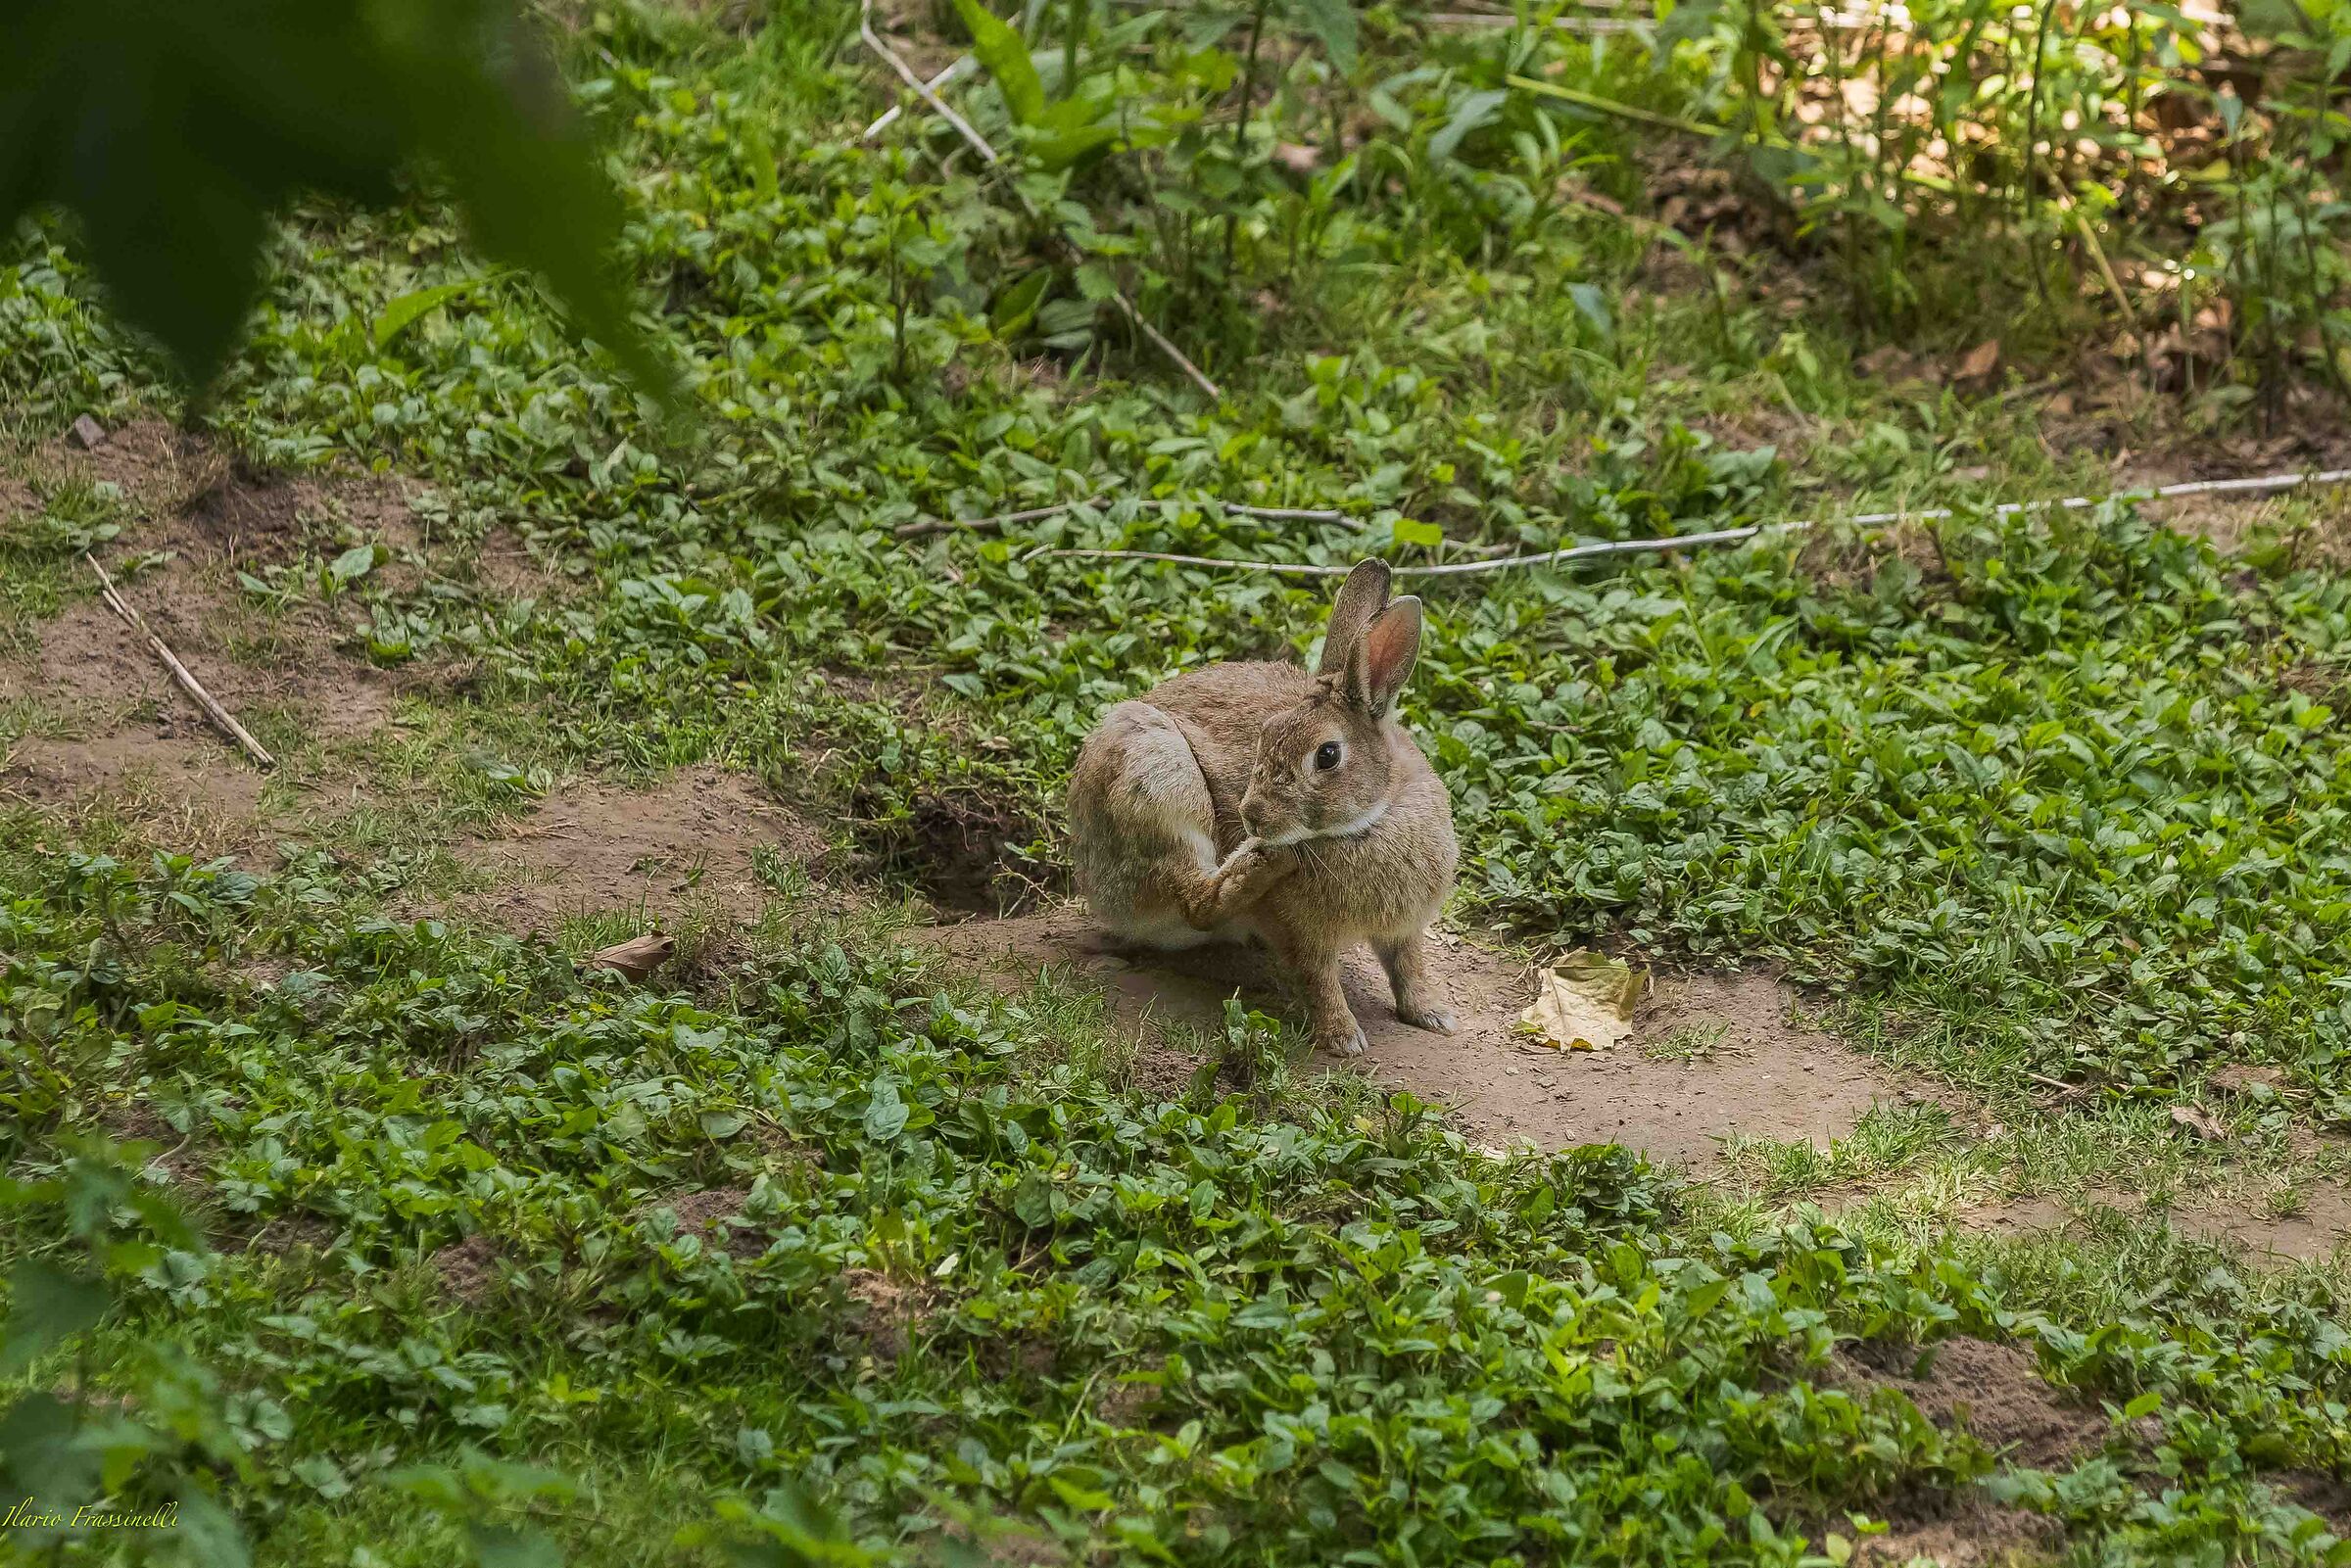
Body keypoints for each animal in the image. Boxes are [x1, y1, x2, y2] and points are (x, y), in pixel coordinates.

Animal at [1067, 558, 1458, 1056]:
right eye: (1265, 735)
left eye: (1327, 755)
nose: (1250, 814)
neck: (1376, 816)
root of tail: (1093, 882)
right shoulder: (1300, 933)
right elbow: (1319, 979)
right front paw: (1343, 1038)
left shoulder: (1406, 929)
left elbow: (1409, 968)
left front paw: (1432, 1016)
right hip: (1159, 776)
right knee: (1196, 901)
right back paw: (1262, 862)